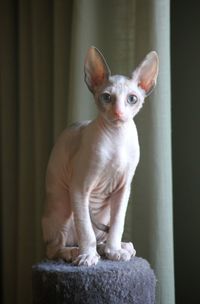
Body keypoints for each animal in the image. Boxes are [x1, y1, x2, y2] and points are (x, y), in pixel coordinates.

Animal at [41, 45, 159, 266]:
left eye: (132, 99)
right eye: (107, 97)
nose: (119, 113)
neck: (117, 139)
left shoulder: (123, 188)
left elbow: (118, 224)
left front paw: (114, 250)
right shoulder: (79, 187)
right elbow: (85, 230)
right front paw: (87, 256)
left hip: (103, 212)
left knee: (102, 234)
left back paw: (116, 247)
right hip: (63, 206)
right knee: (54, 248)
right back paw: (73, 252)